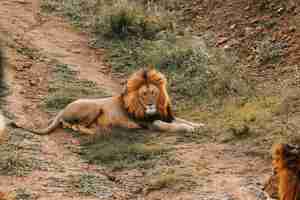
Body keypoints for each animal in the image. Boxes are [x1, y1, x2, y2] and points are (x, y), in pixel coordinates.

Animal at [15, 68, 204, 135]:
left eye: (153, 93)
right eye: (144, 94)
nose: (150, 104)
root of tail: (62, 109)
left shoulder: (166, 116)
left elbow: (181, 119)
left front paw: (199, 124)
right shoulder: (150, 124)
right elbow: (171, 126)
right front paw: (189, 129)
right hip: (94, 107)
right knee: (73, 125)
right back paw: (96, 131)